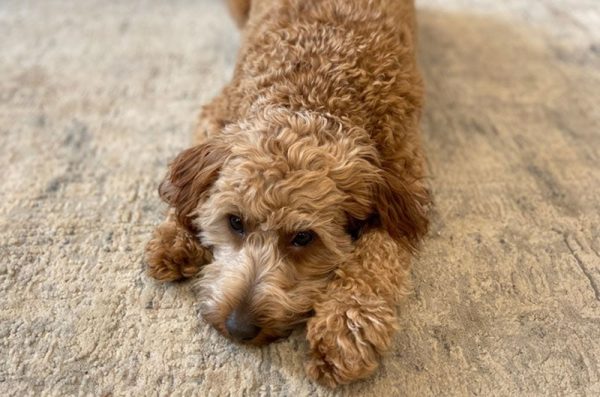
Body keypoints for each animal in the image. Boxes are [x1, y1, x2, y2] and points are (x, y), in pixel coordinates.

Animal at [144, 0, 426, 386]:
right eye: (235, 222)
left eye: (304, 238)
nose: (239, 327)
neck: (316, 96)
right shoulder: (217, 115)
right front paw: (176, 235)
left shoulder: (403, 188)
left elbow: (376, 256)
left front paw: (346, 327)